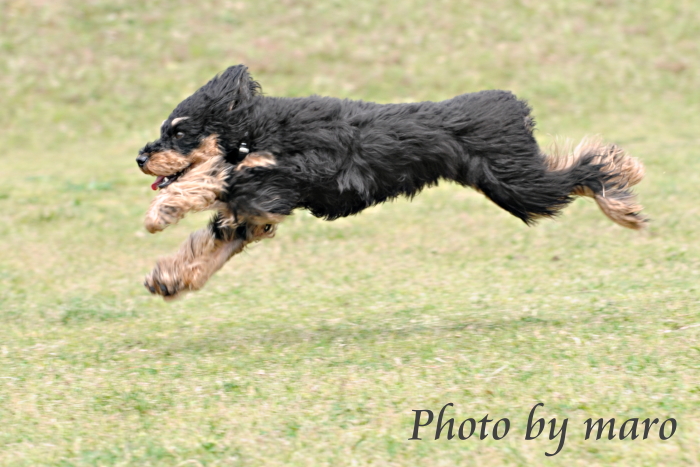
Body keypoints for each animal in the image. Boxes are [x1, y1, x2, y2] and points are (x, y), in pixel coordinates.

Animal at [137, 65, 644, 300]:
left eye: (178, 132)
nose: (142, 156)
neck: (254, 130)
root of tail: (511, 106)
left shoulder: (287, 175)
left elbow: (217, 174)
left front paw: (163, 211)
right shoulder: (255, 212)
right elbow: (210, 245)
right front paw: (169, 278)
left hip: (515, 183)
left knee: (588, 168)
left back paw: (624, 193)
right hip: (513, 178)